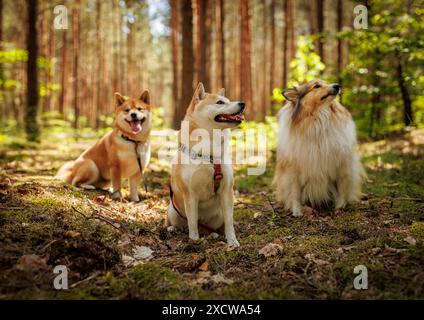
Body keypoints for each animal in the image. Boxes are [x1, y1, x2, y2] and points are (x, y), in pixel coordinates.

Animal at [166, 83, 245, 248]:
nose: (243, 103)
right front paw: (194, 241)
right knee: (178, 223)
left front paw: (232, 241)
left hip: (218, 215)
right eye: (220, 102)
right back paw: (172, 229)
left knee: (215, 227)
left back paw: (214, 234)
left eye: (229, 100)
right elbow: (192, 222)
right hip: (172, 210)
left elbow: (229, 223)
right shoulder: (190, 194)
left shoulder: (227, 191)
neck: (209, 153)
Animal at [274, 79, 364, 216]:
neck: (319, 118)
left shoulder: (342, 165)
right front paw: (297, 211)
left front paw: (340, 207)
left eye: (327, 83)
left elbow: (342, 187)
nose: (337, 86)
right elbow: (295, 193)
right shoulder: (293, 169)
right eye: (316, 86)